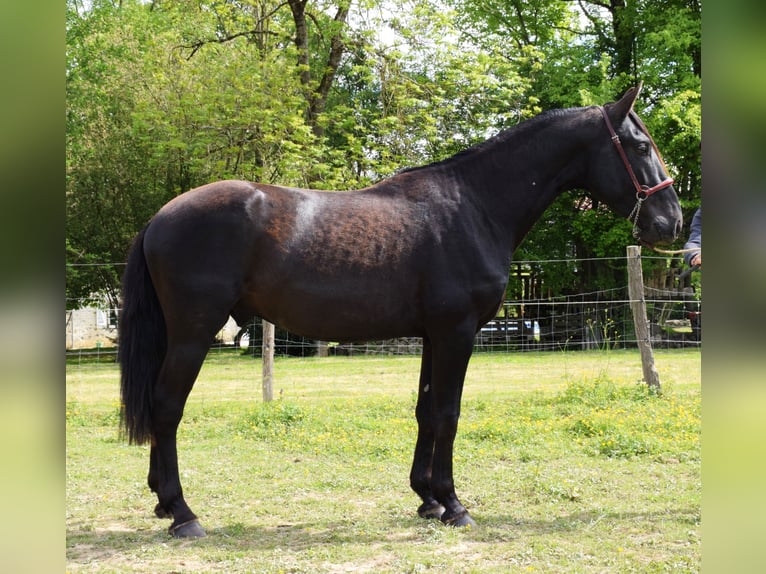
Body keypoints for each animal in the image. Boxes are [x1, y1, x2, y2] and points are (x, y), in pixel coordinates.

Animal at [118, 86, 684, 540]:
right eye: (639, 146)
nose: (671, 222)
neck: (474, 205)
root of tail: (160, 218)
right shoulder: (458, 334)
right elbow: (449, 413)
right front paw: (454, 504)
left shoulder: (434, 336)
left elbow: (425, 411)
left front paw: (427, 498)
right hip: (194, 333)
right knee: (166, 407)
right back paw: (184, 513)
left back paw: (162, 501)